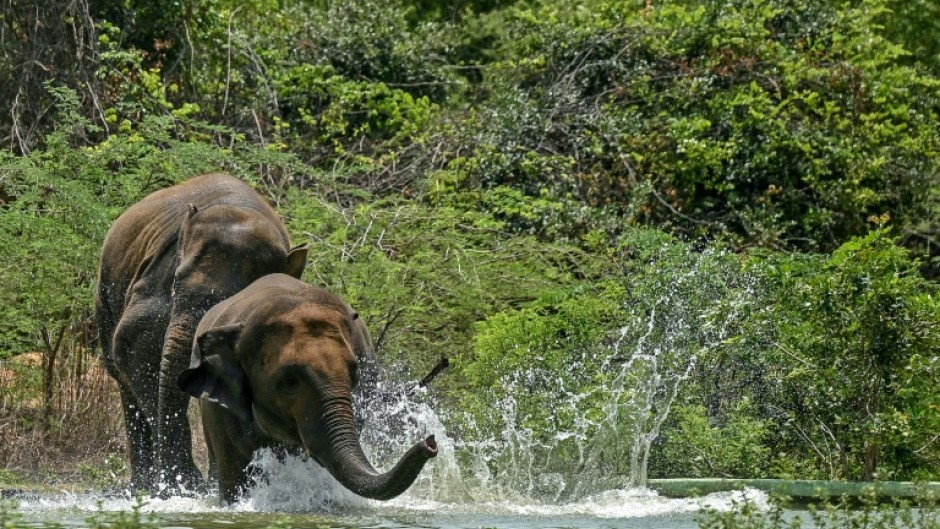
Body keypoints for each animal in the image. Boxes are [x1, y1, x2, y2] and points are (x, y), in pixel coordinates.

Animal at [95, 173, 308, 493]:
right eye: (175, 284)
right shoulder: (158, 281)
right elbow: (137, 347)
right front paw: (185, 486)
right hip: (105, 297)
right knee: (125, 383)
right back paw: (146, 487)